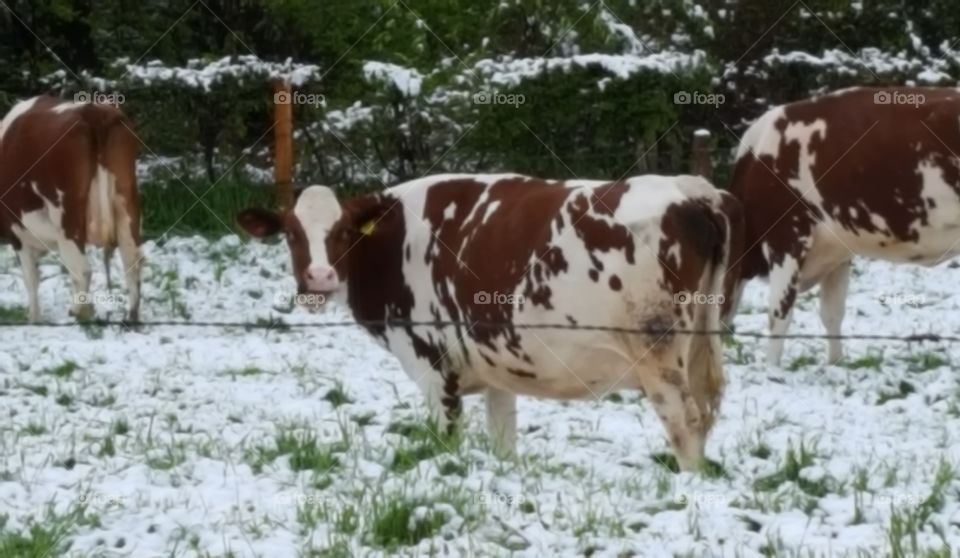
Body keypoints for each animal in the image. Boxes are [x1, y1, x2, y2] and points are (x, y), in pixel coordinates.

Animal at [0, 95, 142, 322]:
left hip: (67, 217)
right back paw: (131, 318)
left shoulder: (18, 234)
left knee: (81, 269)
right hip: (126, 201)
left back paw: (79, 312)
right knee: (132, 259)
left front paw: (34, 318)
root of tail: (92, 111)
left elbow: (31, 278)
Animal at [238, 173, 743, 471]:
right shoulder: (498, 366)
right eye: (291, 234)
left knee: (685, 420)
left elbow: (445, 443)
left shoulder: (433, 367)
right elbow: (504, 441)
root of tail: (692, 191)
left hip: (657, 350)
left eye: (343, 232)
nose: (319, 278)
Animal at [728, 86, 960, 365]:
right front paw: (835, 363)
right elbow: (832, 313)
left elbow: (779, 315)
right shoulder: (838, 250)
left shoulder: (786, 237)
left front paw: (771, 369)